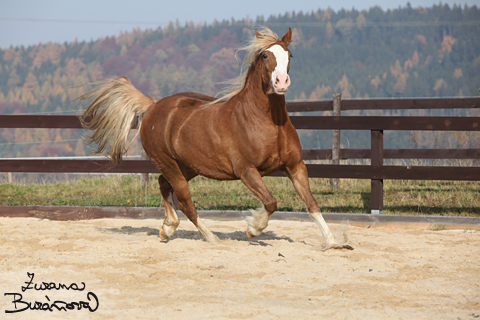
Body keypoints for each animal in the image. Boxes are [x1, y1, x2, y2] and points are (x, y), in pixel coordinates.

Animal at [76, 26, 352, 249]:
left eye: (289, 55)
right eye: (265, 55)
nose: (281, 82)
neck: (265, 121)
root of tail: (153, 106)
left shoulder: (295, 166)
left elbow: (312, 203)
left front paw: (333, 243)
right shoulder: (246, 170)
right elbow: (271, 202)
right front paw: (253, 228)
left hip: (188, 166)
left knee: (164, 185)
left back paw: (167, 228)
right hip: (169, 164)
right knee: (186, 203)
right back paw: (212, 239)